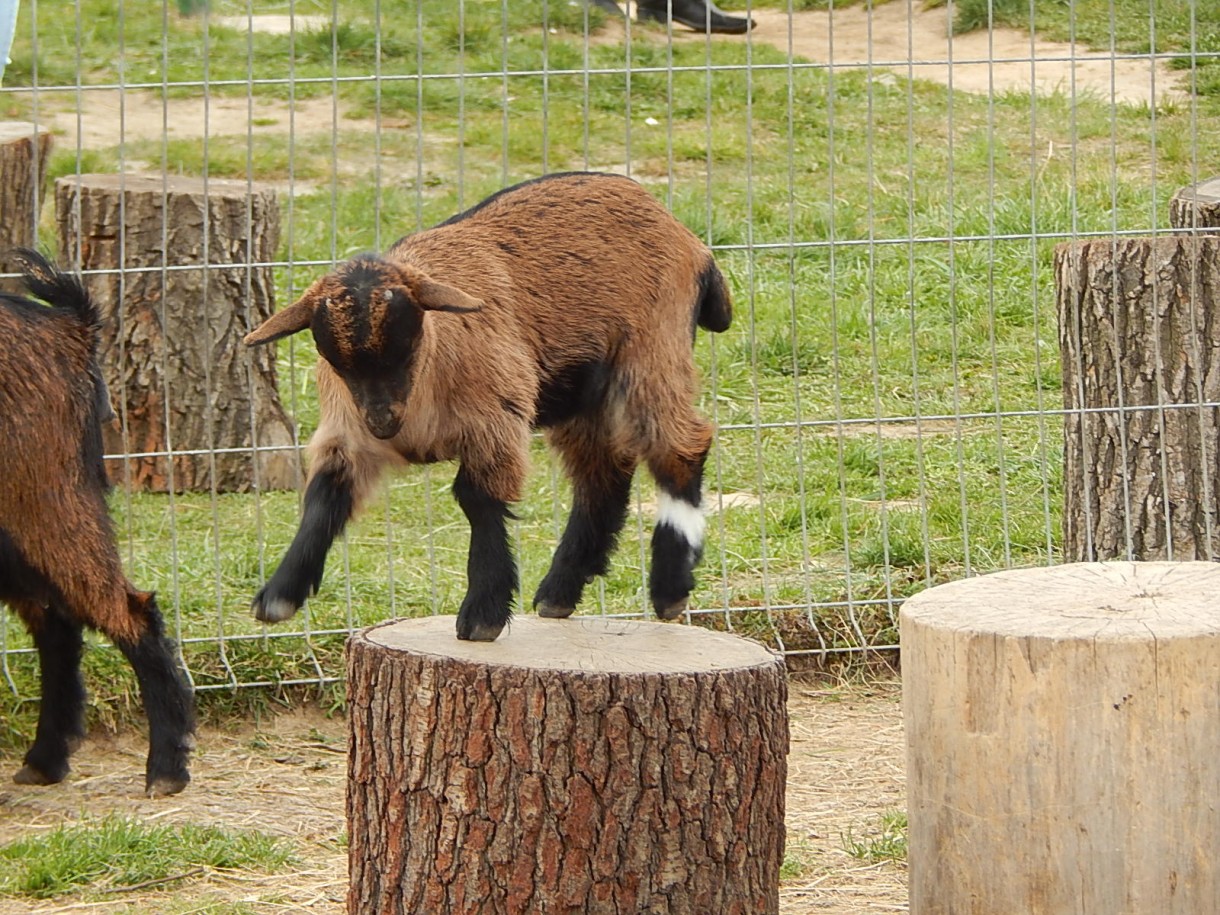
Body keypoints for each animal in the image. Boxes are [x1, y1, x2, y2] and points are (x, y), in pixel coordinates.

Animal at [0, 248, 195, 795]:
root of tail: (68, 326)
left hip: (42, 496)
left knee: (127, 611)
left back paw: (166, 768)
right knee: (57, 620)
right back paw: (46, 759)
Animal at [242, 173, 727, 644]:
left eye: (407, 342)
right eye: (333, 357)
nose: (383, 423)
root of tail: (688, 238)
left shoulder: (495, 418)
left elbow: (477, 499)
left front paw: (482, 614)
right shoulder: (348, 433)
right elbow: (324, 499)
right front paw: (279, 595)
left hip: (652, 350)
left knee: (681, 446)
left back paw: (669, 587)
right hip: (583, 394)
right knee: (603, 472)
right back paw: (559, 591)